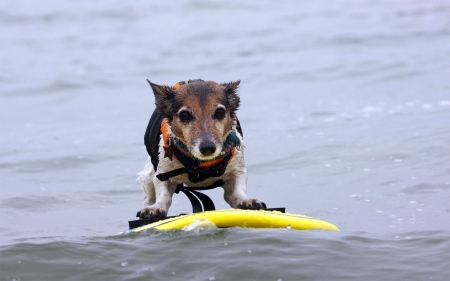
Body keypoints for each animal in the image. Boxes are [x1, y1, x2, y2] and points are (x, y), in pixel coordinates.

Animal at [135, 79, 266, 219]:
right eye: (184, 115)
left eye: (220, 113)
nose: (208, 148)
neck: (202, 164)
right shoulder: (163, 174)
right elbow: (163, 195)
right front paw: (156, 207)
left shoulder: (237, 170)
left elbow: (237, 192)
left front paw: (246, 200)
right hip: (148, 176)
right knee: (148, 197)